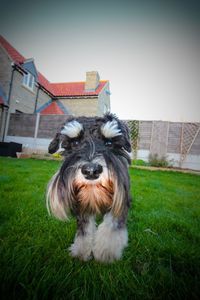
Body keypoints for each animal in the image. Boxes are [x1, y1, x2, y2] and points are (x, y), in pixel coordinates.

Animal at [46, 113, 132, 262]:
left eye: (109, 143)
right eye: (75, 143)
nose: (91, 171)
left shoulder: (120, 201)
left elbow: (112, 223)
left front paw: (106, 252)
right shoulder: (81, 205)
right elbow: (84, 228)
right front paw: (81, 251)